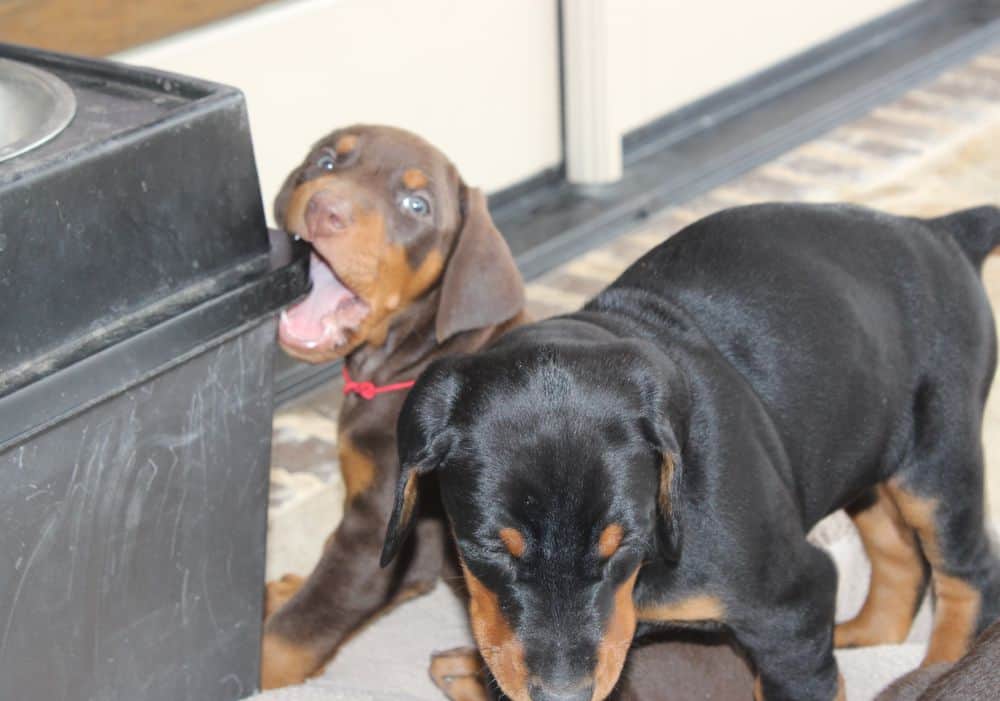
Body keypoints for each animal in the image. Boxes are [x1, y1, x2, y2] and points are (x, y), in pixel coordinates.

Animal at [262, 126, 528, 688]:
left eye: (416, 205)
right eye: (325, 161)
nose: (325, 209)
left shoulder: (381, 540)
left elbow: (291, 634)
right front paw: (288, 584)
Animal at [380, 202, 1000, 700]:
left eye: (623, 545)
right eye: (489, 549)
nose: (563, 696)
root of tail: (937, 230)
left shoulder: (792, 607)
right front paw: (469, 671)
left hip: (937, 458)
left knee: (967, 571)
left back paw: (938, 666)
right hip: (863, 445)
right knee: (898, 552)